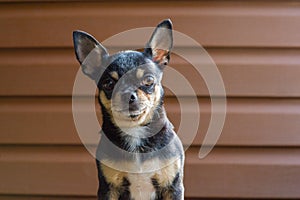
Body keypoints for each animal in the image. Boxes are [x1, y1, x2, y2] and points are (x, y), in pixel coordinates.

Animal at [73, 19, 185, 200]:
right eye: (108, 84)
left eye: (148, 80)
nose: (127, 94)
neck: (135, 132)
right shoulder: (108, 189)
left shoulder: (172, 187)